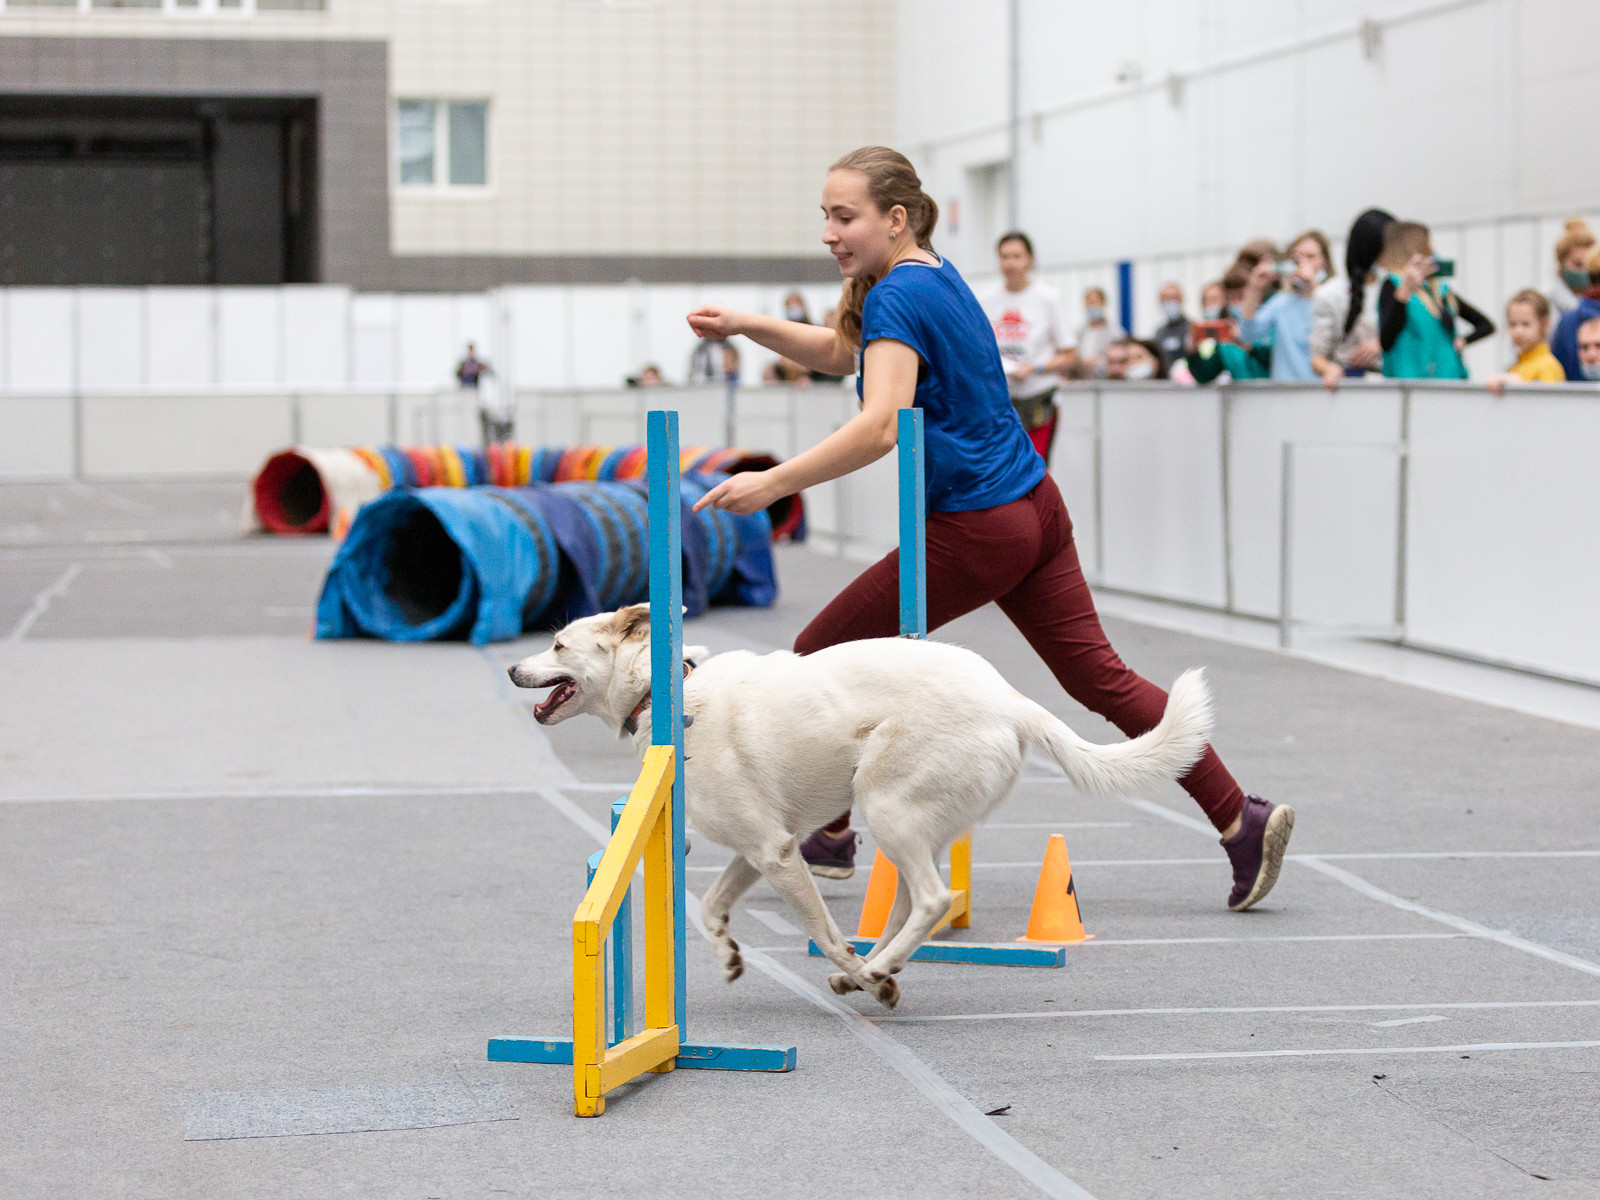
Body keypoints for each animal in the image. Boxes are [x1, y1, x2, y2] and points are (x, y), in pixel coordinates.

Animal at [512, 604, 1209, 1011]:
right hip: (911, 823)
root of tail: (1012, 700)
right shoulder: (764, 848)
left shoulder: (773, 851)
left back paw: (874, 972)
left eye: (557, 644)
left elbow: (823, 929)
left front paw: (854, 967)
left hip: (886, 805)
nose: (515, 670)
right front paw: (731, 957)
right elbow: (710, 909)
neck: (667, 693)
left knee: (932, 900)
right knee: (910, 904)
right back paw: (875, 968)